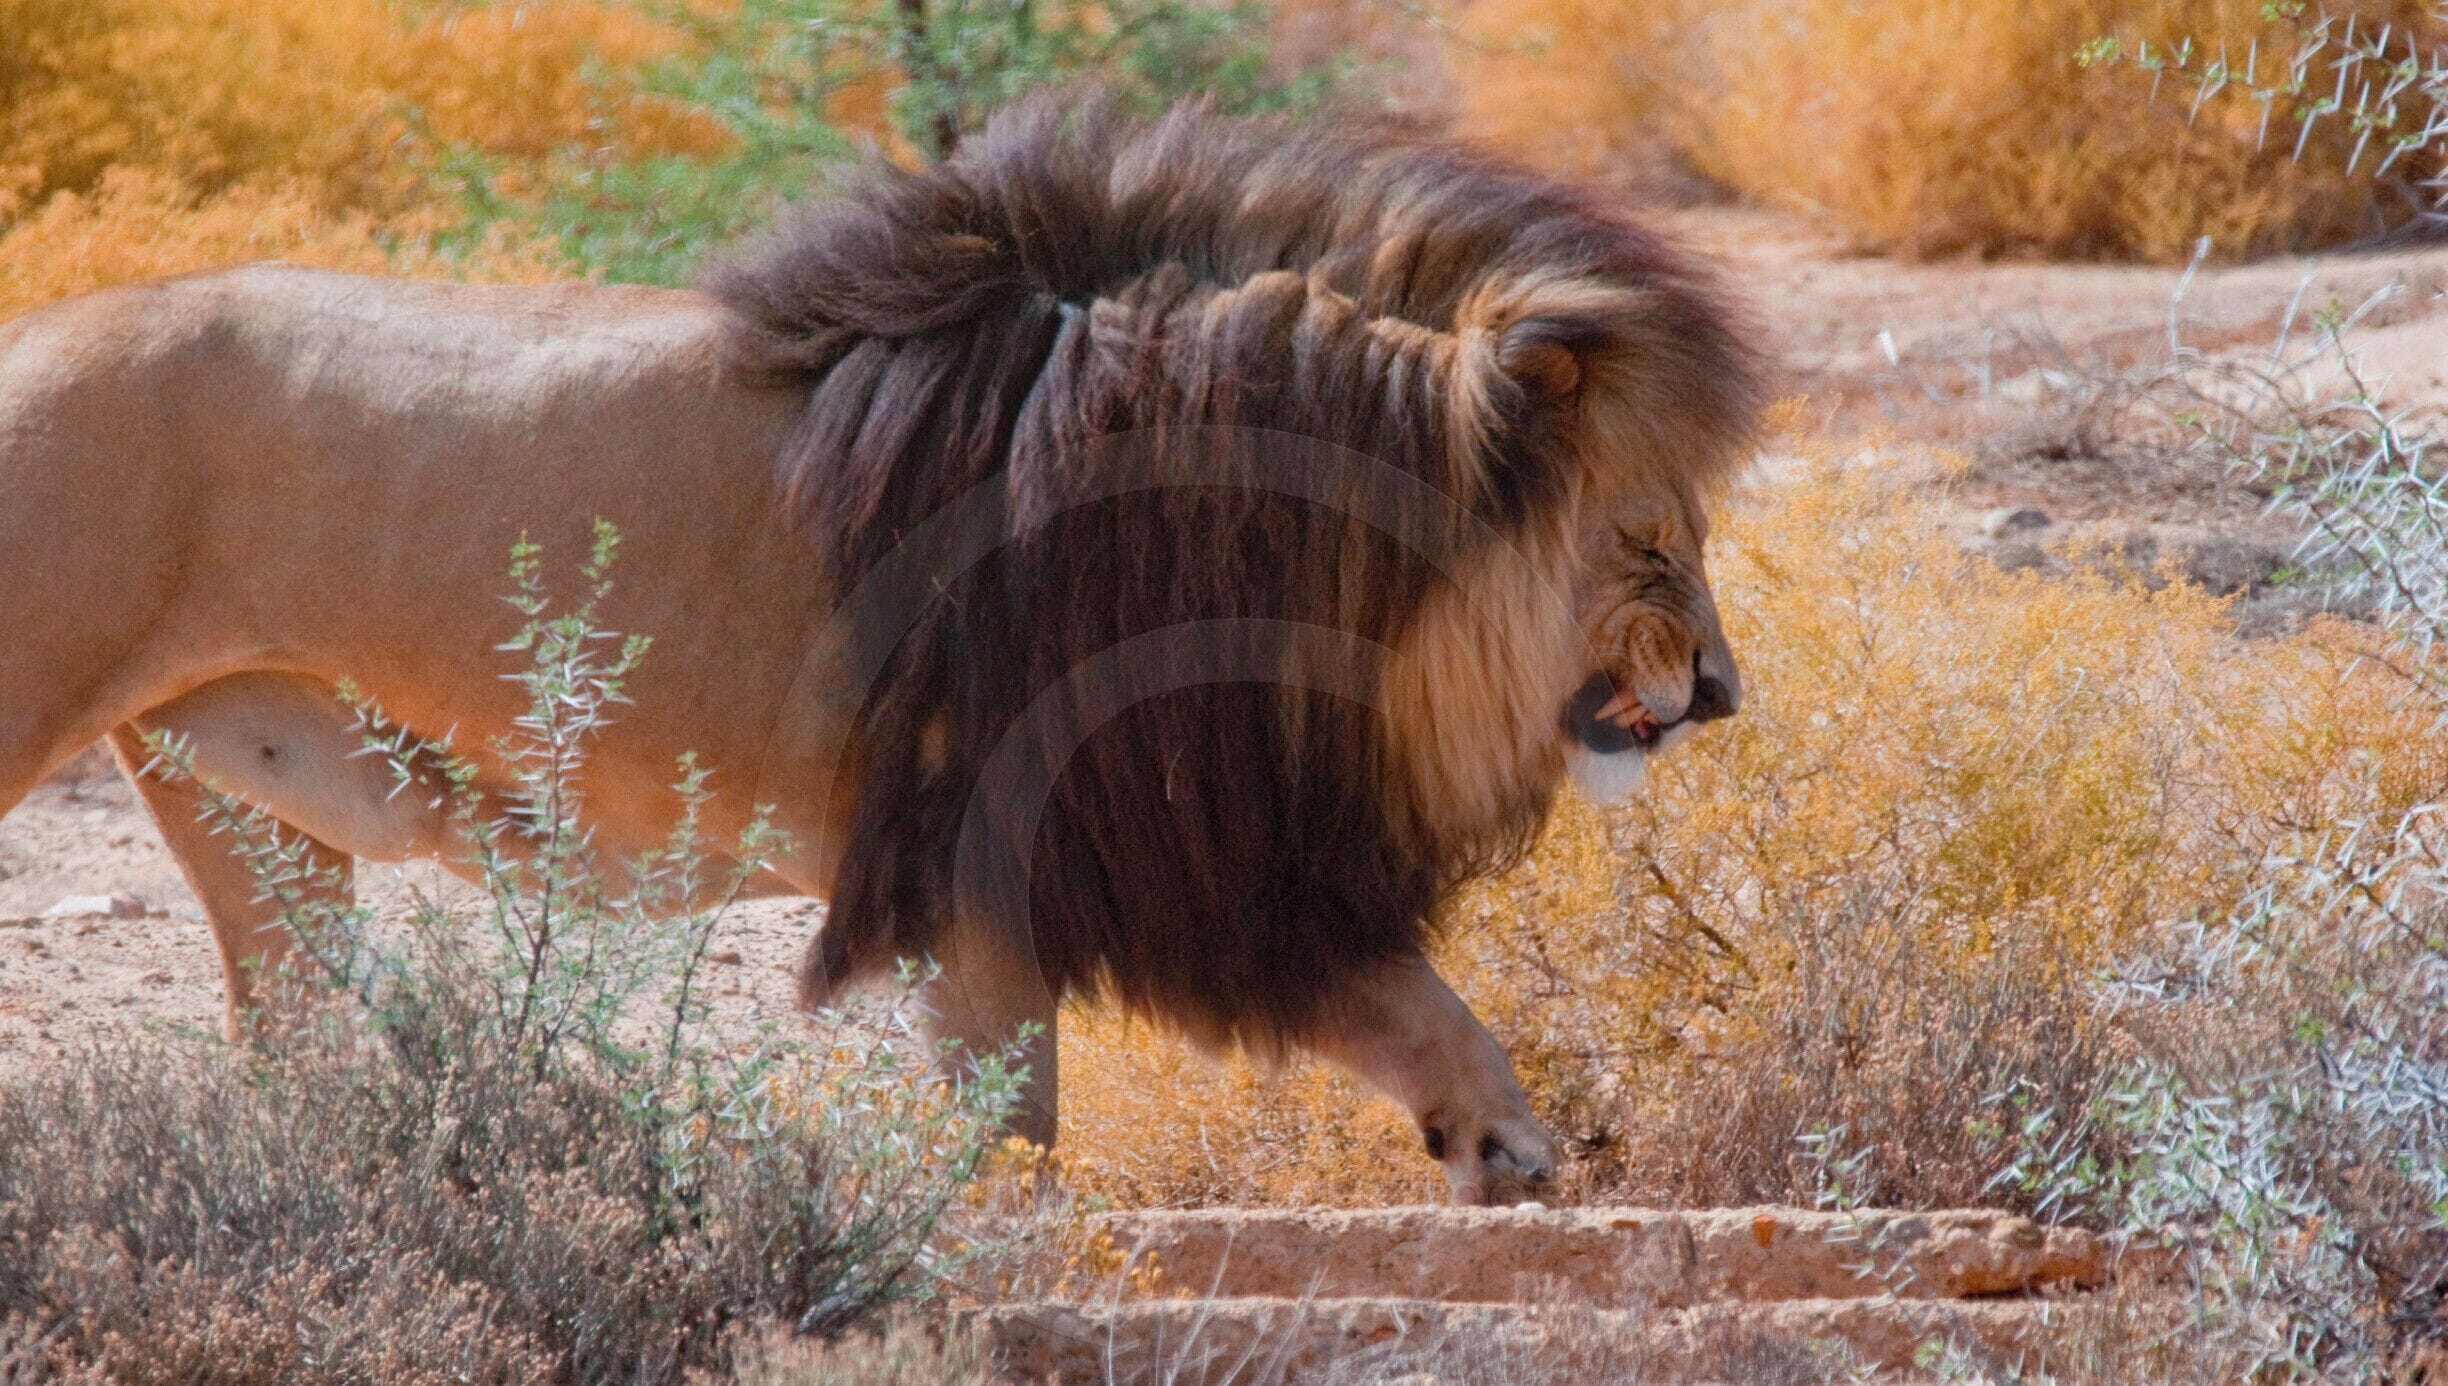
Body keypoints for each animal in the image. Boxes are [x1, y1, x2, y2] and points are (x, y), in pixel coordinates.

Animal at [0, 96, 1759, 1204]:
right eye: (1652, 543)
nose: (1724, 697)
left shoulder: (1164, 868)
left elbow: (1416, 1007)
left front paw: (1507, 1148)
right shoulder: (1018, 859)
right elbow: (1022, 1150)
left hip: (251, 805)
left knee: (287, 1057)